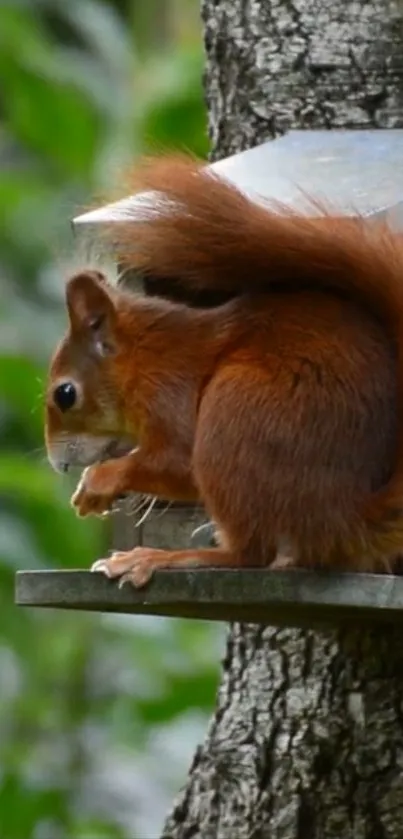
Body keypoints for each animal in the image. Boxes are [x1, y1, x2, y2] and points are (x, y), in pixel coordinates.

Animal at [44, 154, 403, 588]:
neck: (144, 358)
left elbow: (178, 461)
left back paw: (161, 557)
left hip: (234, 415)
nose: (58, 464)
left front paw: (100, 481)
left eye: (65, 394)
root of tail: (346, 518)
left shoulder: (169, 389)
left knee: (249, 554)